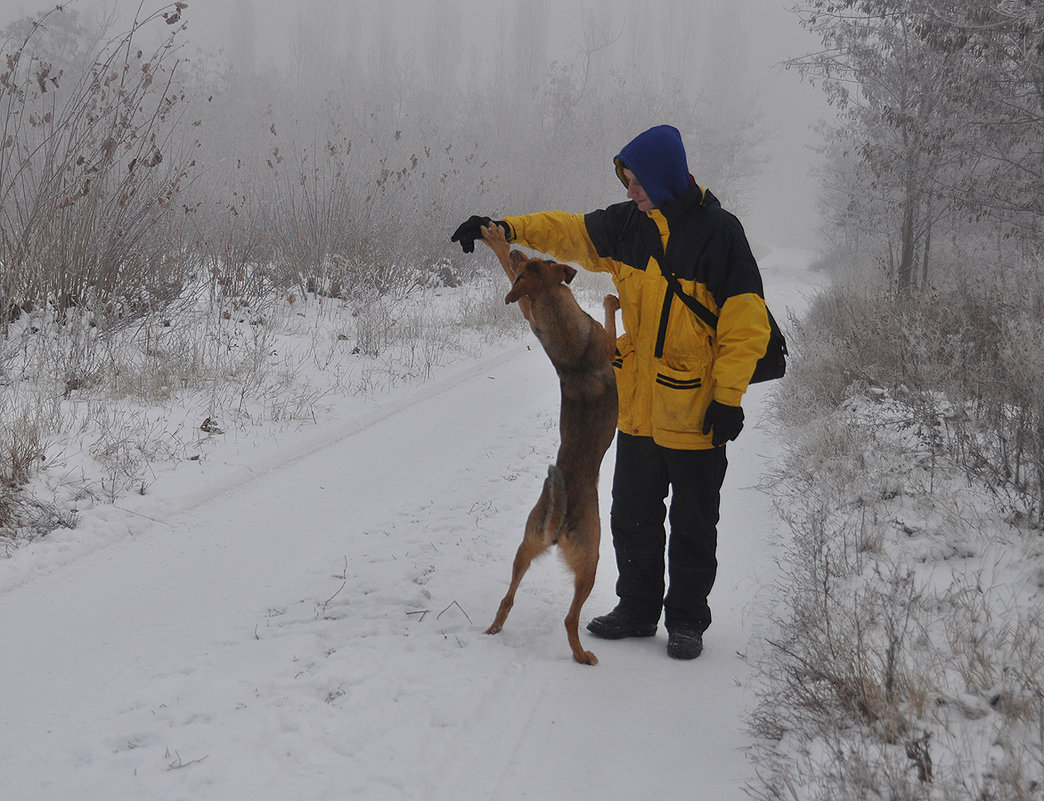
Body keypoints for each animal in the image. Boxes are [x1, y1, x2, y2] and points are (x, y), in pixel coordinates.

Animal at [480, 222, 618, 668]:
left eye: (534, 261)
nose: (518, 248)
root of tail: (559, 523)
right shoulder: (610, 343)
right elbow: (610, 316)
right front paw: (612, 297)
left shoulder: (527, 308)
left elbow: (519, 296)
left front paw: (495, 241)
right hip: (591, 559)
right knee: (570, 619)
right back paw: (583, 655)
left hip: (527, 544)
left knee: (508, 597)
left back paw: (494, 628)